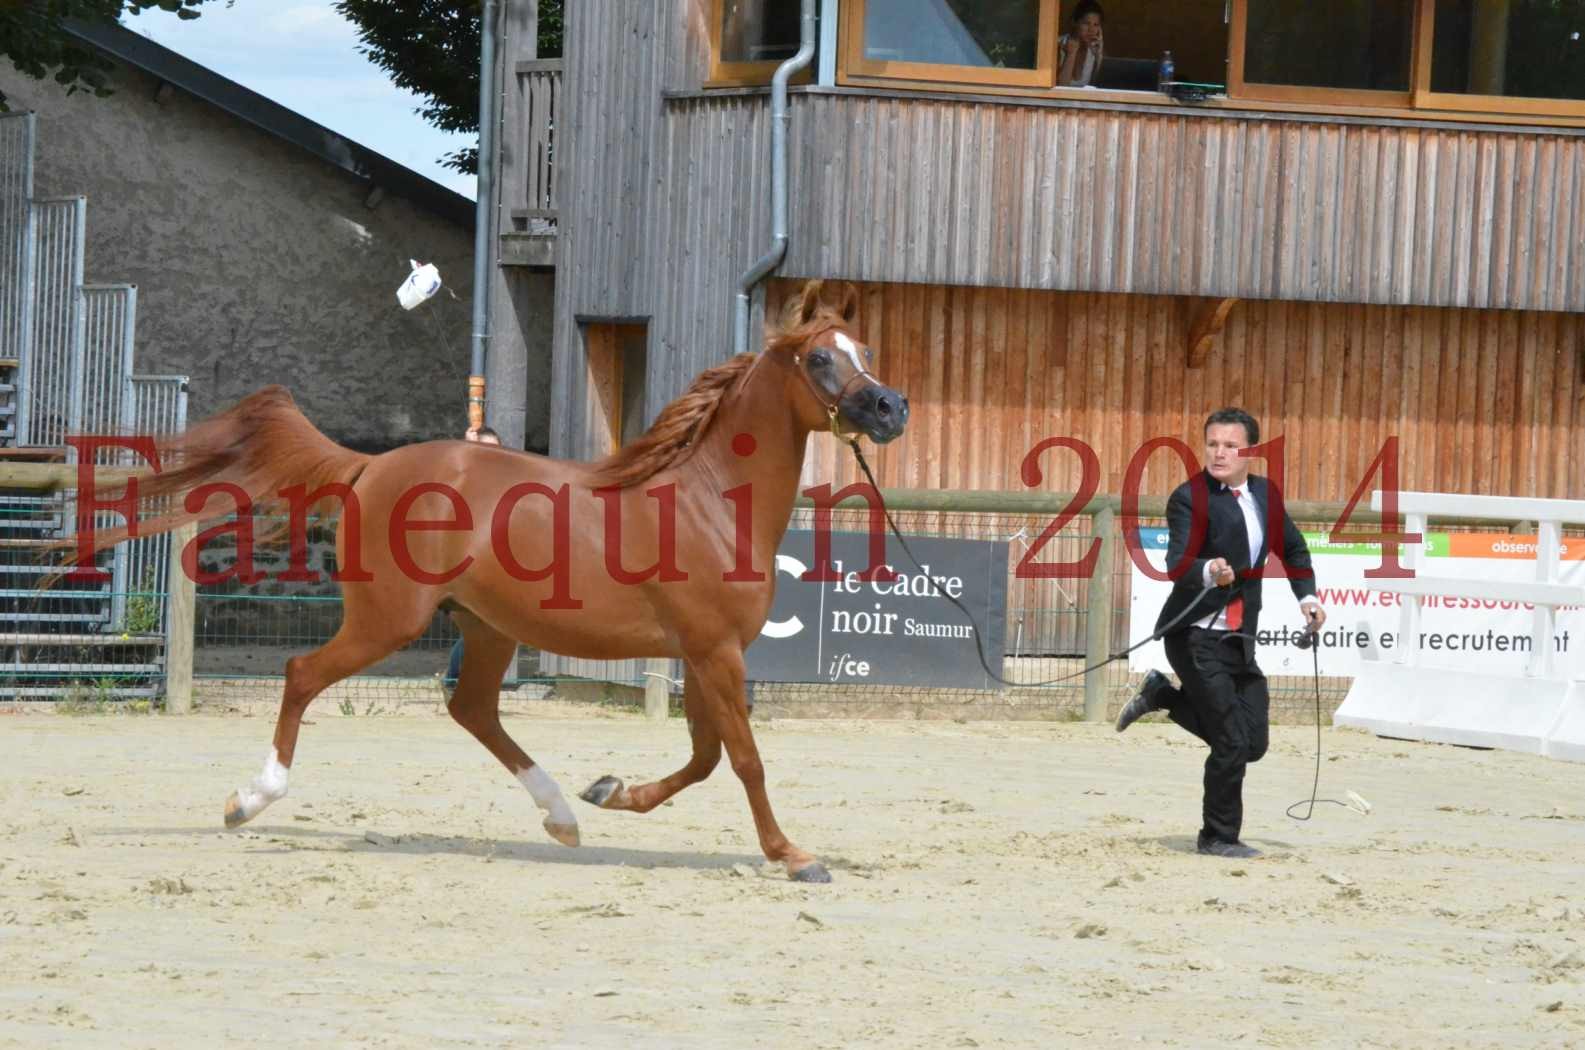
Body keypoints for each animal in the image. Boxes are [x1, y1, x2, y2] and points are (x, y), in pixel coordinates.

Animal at [80, 282, 912, 888]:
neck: (708, 502)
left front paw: (612, 791)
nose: (890, 406)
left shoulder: (703, 654)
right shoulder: (712, 651)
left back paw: (563, 816)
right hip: (389, 621)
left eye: (867, 350)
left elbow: (708, 757)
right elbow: (743, 760)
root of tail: (369, 465)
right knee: (303, 674)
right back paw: (249, 802)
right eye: (820, 360)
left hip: (484, 625)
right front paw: (795, 857)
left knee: (473, 709)